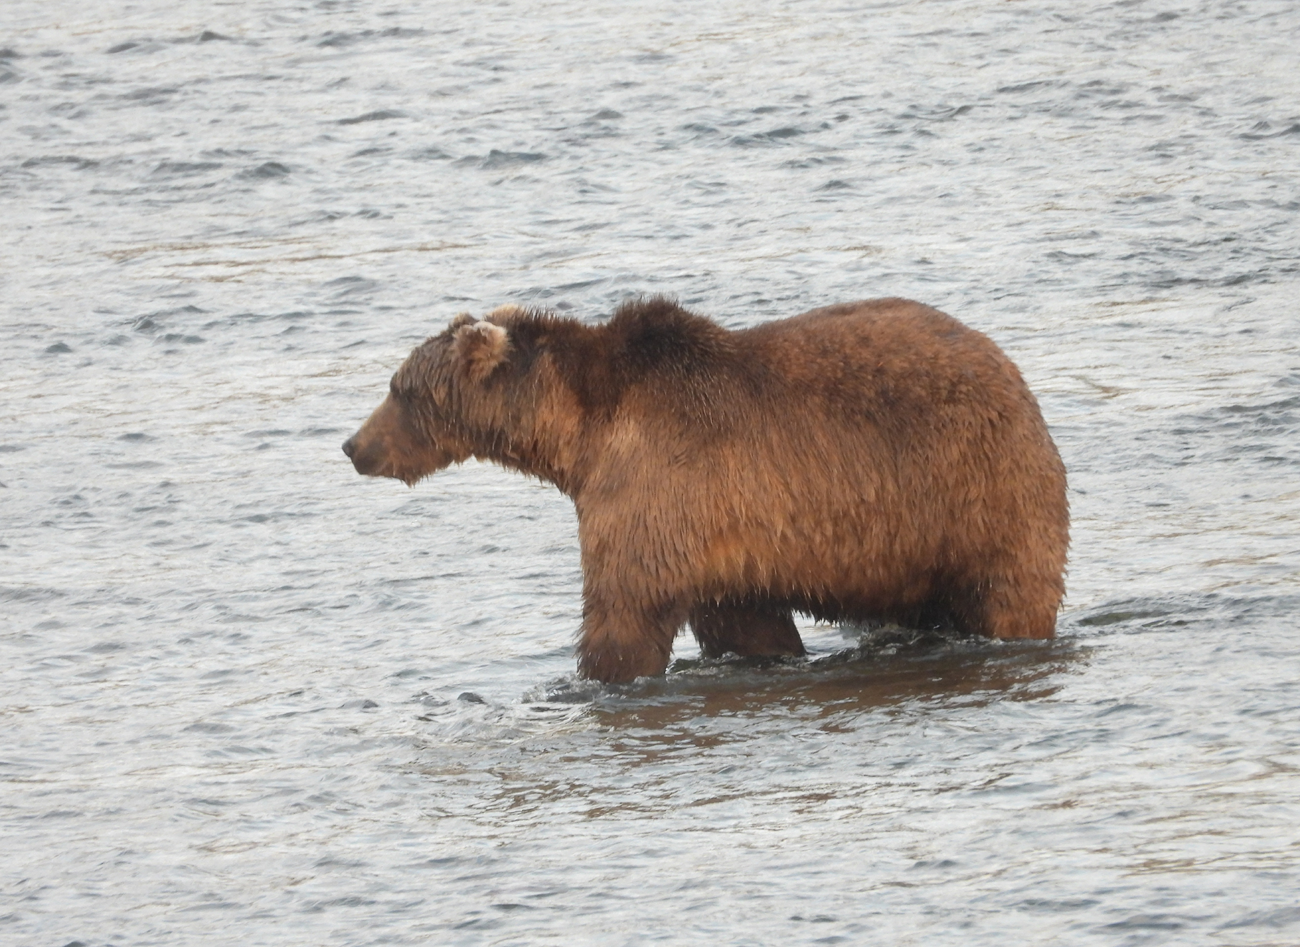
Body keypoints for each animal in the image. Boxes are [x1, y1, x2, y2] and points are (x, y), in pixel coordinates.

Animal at [343, 296, 1066, 681]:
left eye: (400, 390)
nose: (354, 446)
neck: (578, 435)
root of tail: (1010, 369)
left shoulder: (654, 492)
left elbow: (623, 610)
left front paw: (597, 673)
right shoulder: (727, 540)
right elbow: (743, 622)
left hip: (977, 492)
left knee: (1009, 589)